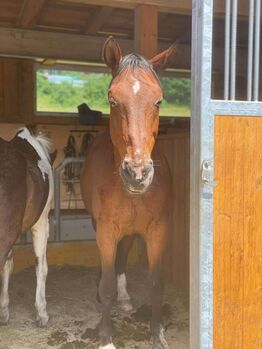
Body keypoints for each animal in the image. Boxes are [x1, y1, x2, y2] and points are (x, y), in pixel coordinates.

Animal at [80, 38, 176, 348]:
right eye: (112, 100)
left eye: (158, 101)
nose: (137, 174)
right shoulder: (106, 229)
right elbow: (107, 284)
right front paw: (107, 338)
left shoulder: (158, 230)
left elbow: (156, 283)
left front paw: (158, 335)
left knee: (122, 255)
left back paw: (124, 300)